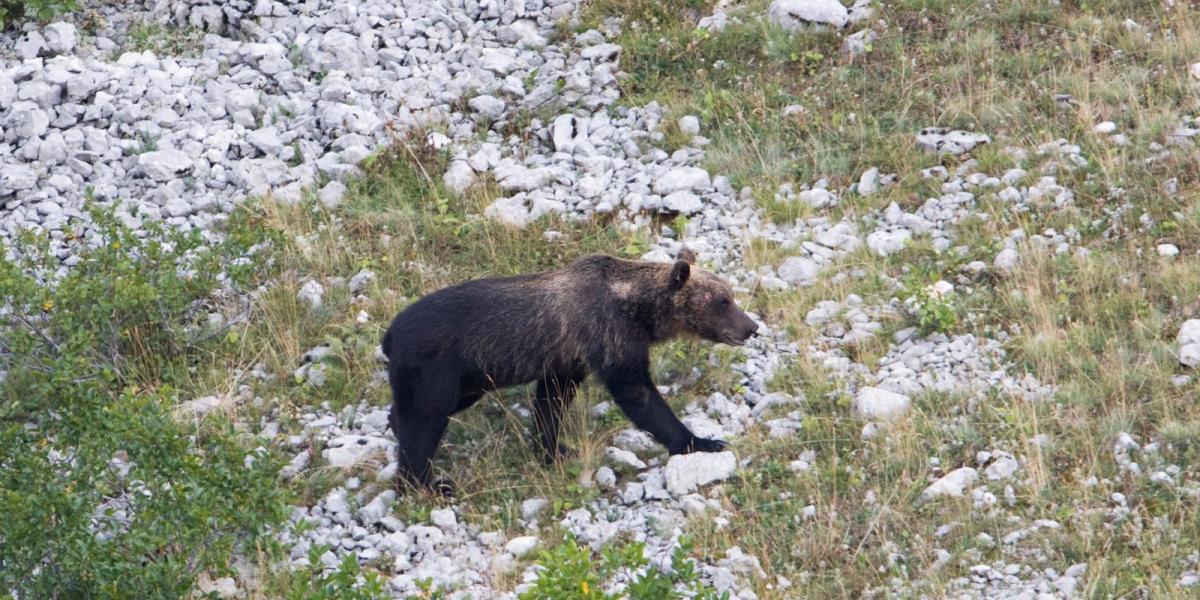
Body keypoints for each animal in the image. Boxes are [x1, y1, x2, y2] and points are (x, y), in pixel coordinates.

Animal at [381, 248, 758, 492]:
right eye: (722, 301)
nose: (751, 326)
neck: (637, 310)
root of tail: (389, 334)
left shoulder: (568, 358)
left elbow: (552, 402)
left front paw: (556, 449)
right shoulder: (609, 336)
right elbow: (638, 393)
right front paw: (702, 441)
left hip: (467, 378)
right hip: (436, 365)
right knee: (426, 417)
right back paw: (426, 484)